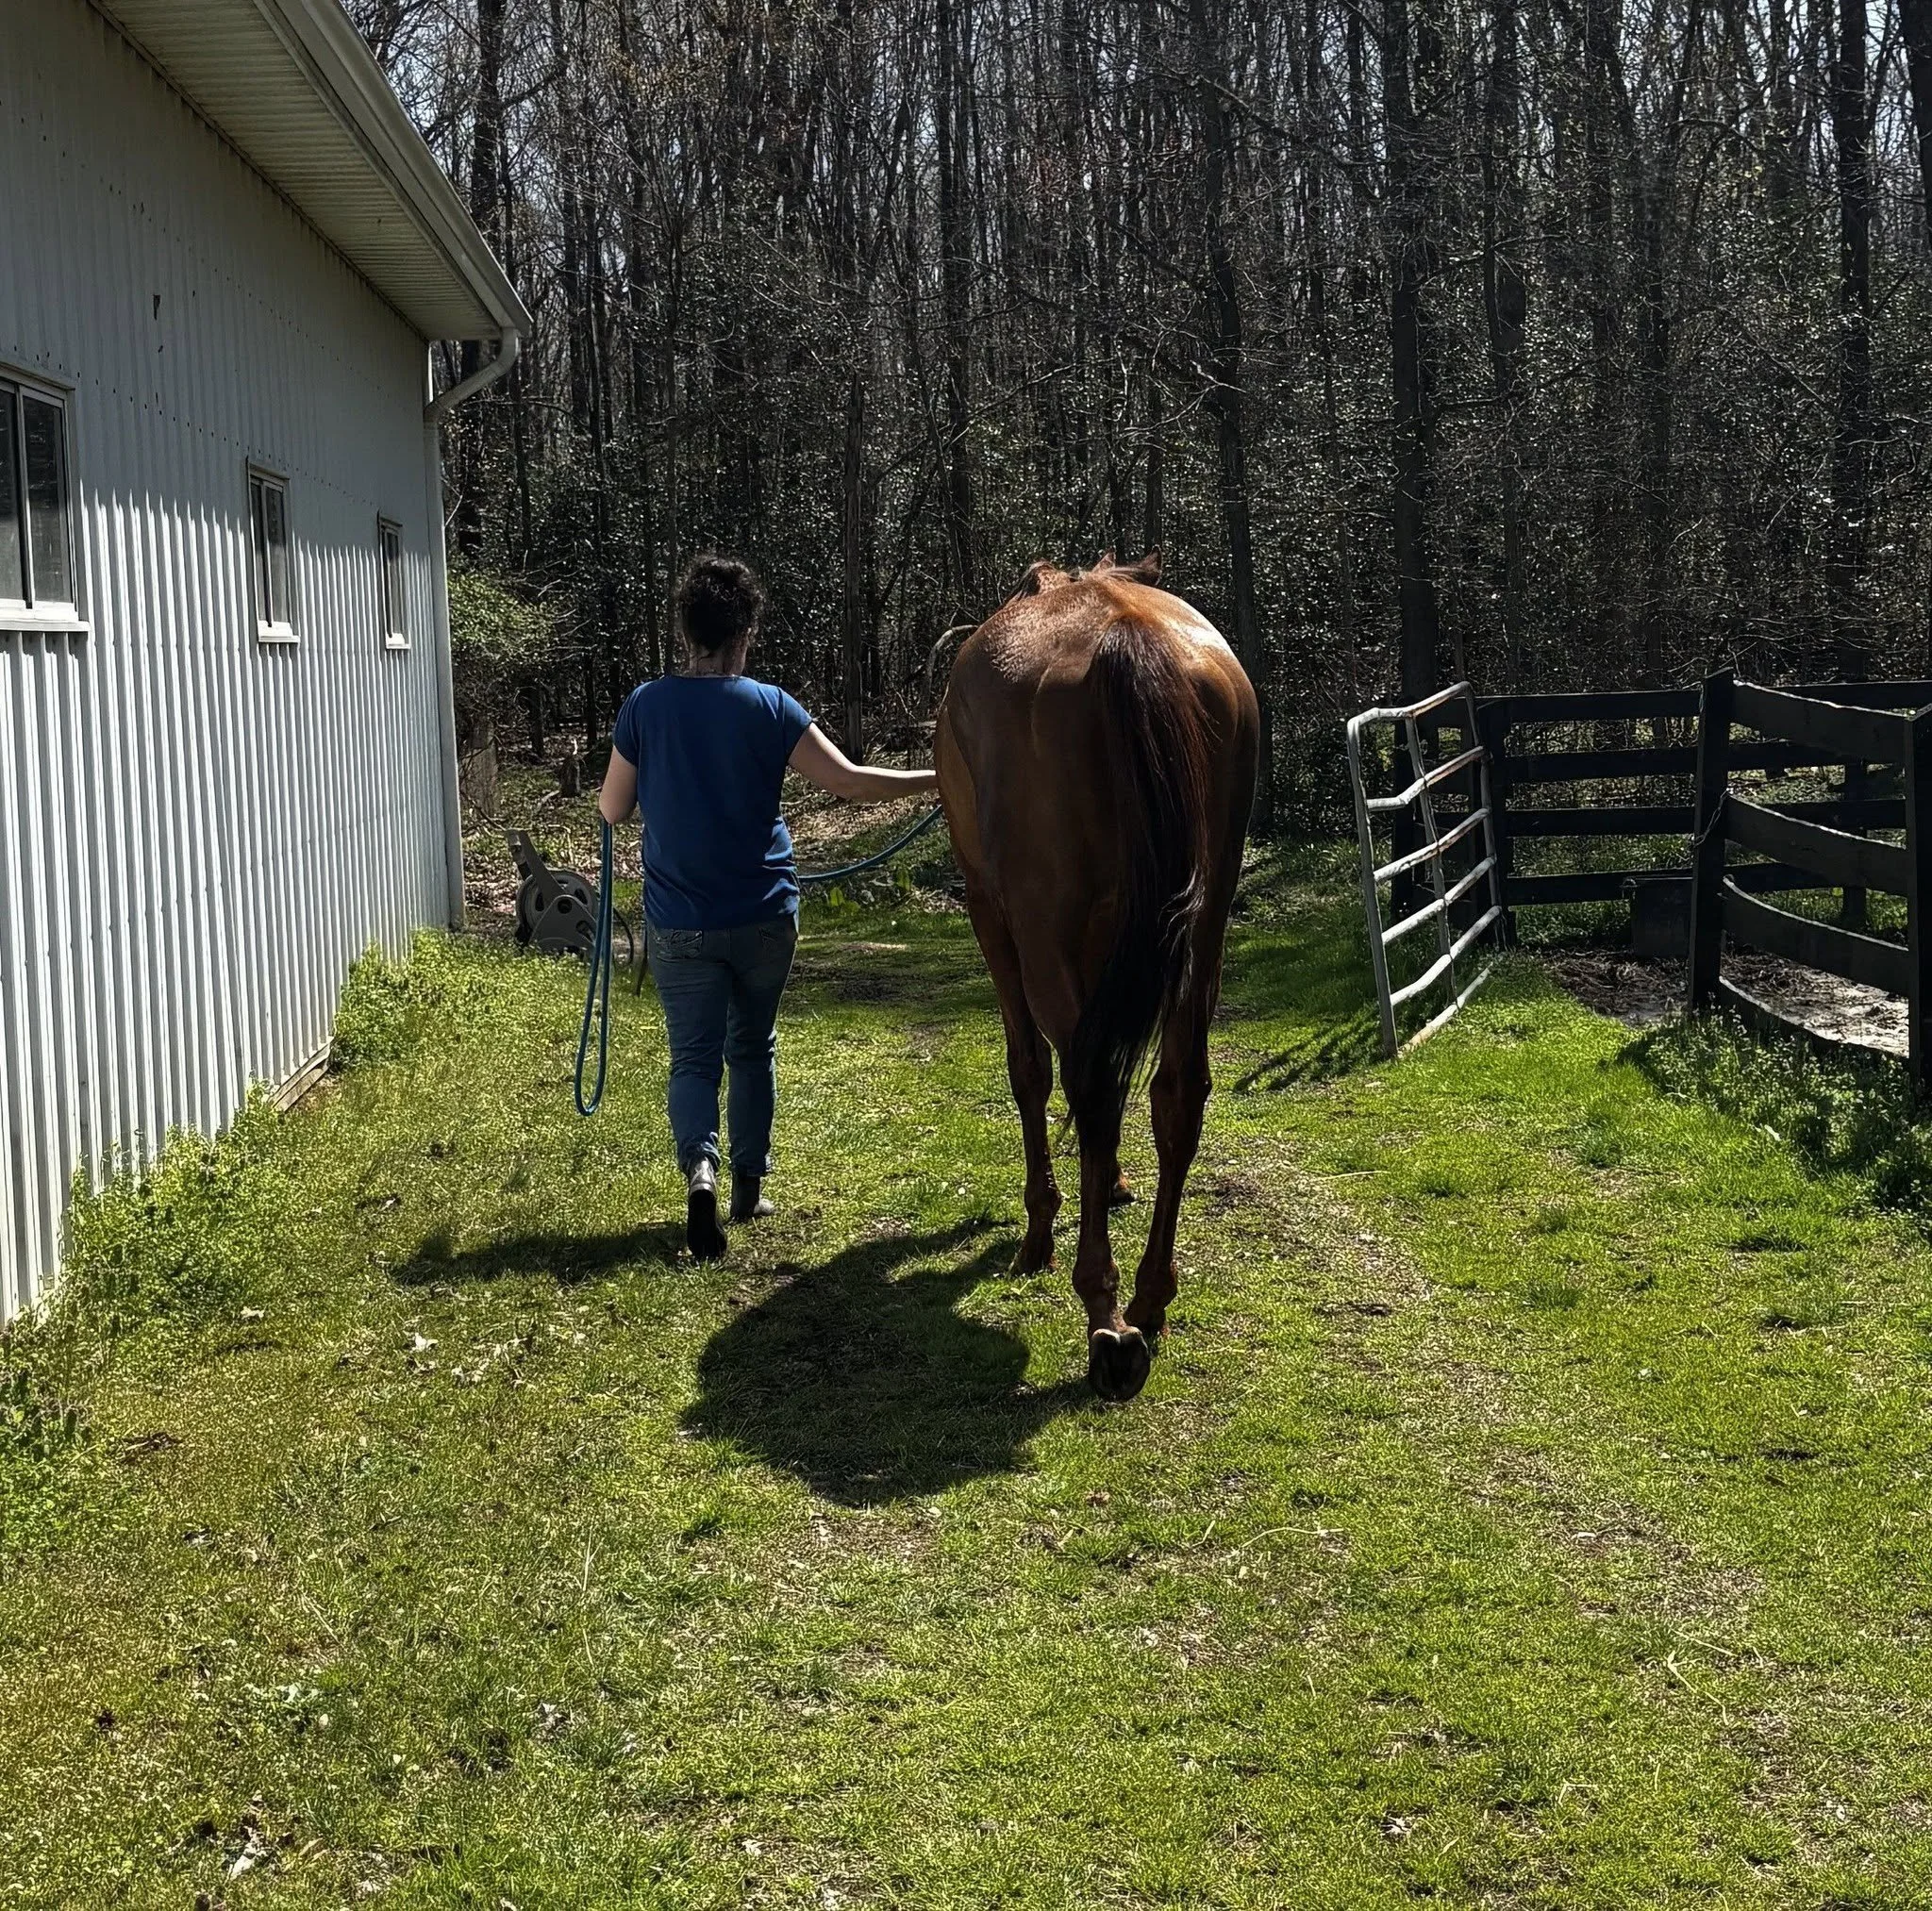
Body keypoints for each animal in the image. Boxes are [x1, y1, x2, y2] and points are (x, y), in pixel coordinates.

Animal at [934, 551, 1260, 1401]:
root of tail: (1126, 634)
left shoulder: (993, 916)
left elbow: (1030, 1069)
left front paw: (1043, 1226)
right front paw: (1108, 1183)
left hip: (1039, 930)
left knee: (1089, 1082)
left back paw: (1104, 1314)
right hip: (1202, 935)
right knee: (1177, 1092)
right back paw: (1148, 1298)